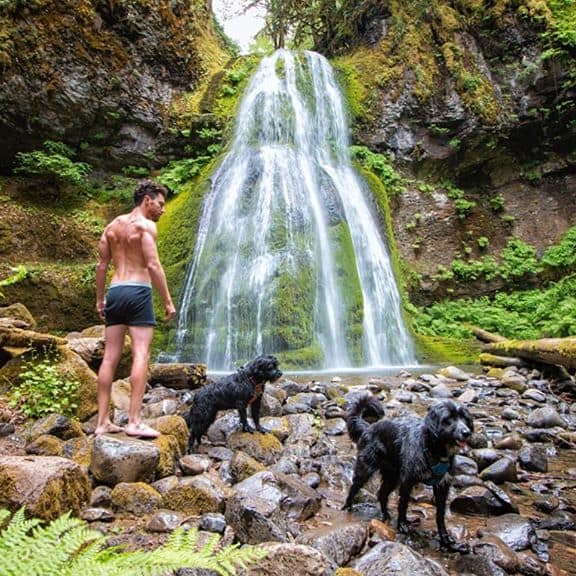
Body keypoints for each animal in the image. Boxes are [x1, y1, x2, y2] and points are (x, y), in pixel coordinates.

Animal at [342, 394, 472, 552]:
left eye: (464, 418)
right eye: (448, 419)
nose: (466, 432)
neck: (432, 448)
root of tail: (369, 427)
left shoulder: (442, 484)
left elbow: (440, 515)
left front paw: (446, 540)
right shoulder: (407, 480)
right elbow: (403, 503)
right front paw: (402, 525)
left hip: (392, 475)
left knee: (382, 493)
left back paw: (386, 514)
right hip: (366, 468)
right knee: (355, 487)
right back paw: (347, 507)